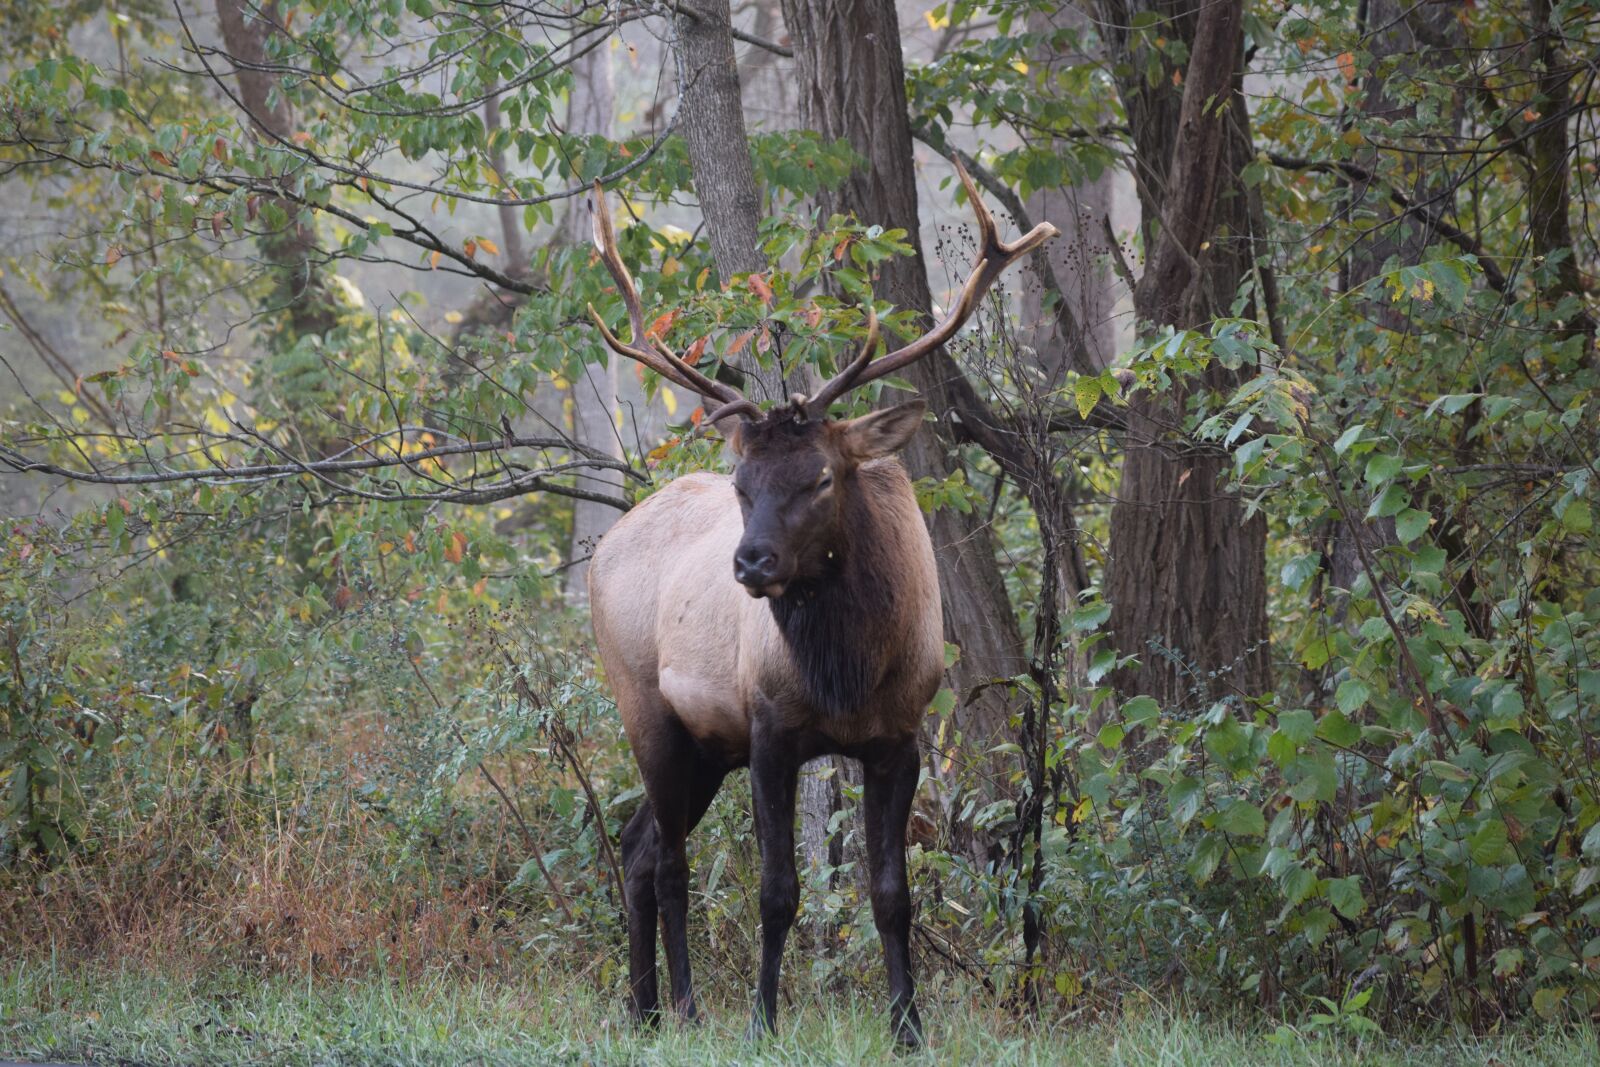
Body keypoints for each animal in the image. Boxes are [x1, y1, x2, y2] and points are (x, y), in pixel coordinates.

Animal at [584, 166, 1056, 1047]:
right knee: (667, 861)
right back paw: (683, 1006)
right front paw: (763, 1021)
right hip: (646, 708)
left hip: (706, 747)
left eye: (822, 476)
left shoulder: (899, 735)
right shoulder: (768, 726)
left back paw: (645, 1007)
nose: (750, 561)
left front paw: (908, 1027)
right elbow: (779, 891)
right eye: (742, 483)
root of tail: (604, 546)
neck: (848, 670)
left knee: (636, 846)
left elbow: (892, 894)